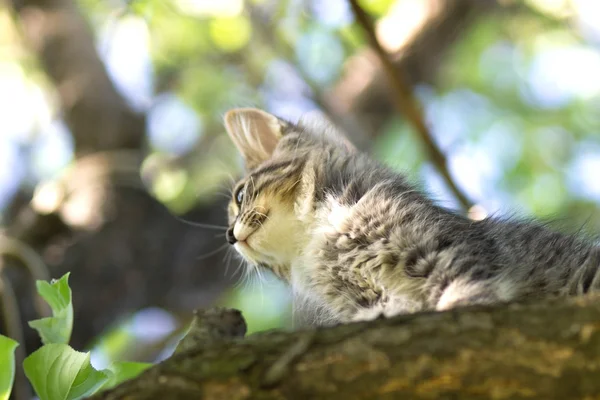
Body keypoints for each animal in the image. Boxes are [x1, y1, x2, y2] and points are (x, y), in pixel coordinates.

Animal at [224, 108, 600, 326]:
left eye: (240, 196)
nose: (229, 235)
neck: (322, 235)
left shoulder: (448, 252)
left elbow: (463, 294)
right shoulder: (368, 302)